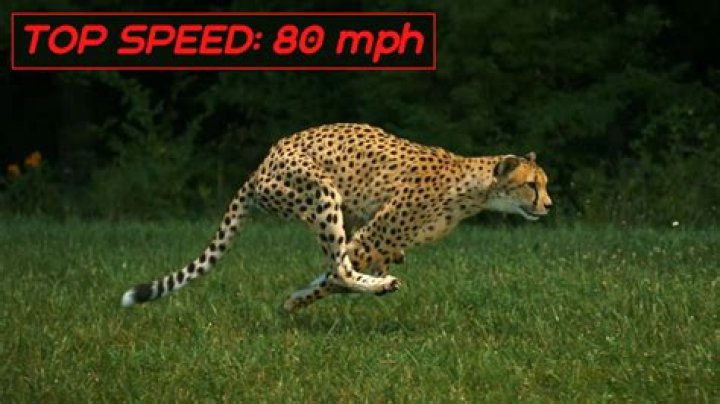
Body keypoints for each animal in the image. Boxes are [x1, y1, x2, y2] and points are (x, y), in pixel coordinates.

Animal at [121, 123, 552, 313]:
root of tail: (261, 165)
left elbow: (331, 275)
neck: (474, 188)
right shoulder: (375, 236)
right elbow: (330, 279)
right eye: (532, 185)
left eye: (544, 184)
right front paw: (294, 302)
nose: (548, 205)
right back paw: (380, 285)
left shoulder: (378, 240)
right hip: (322, 193)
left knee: (339, 262)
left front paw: (296, 299)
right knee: (340, 267)